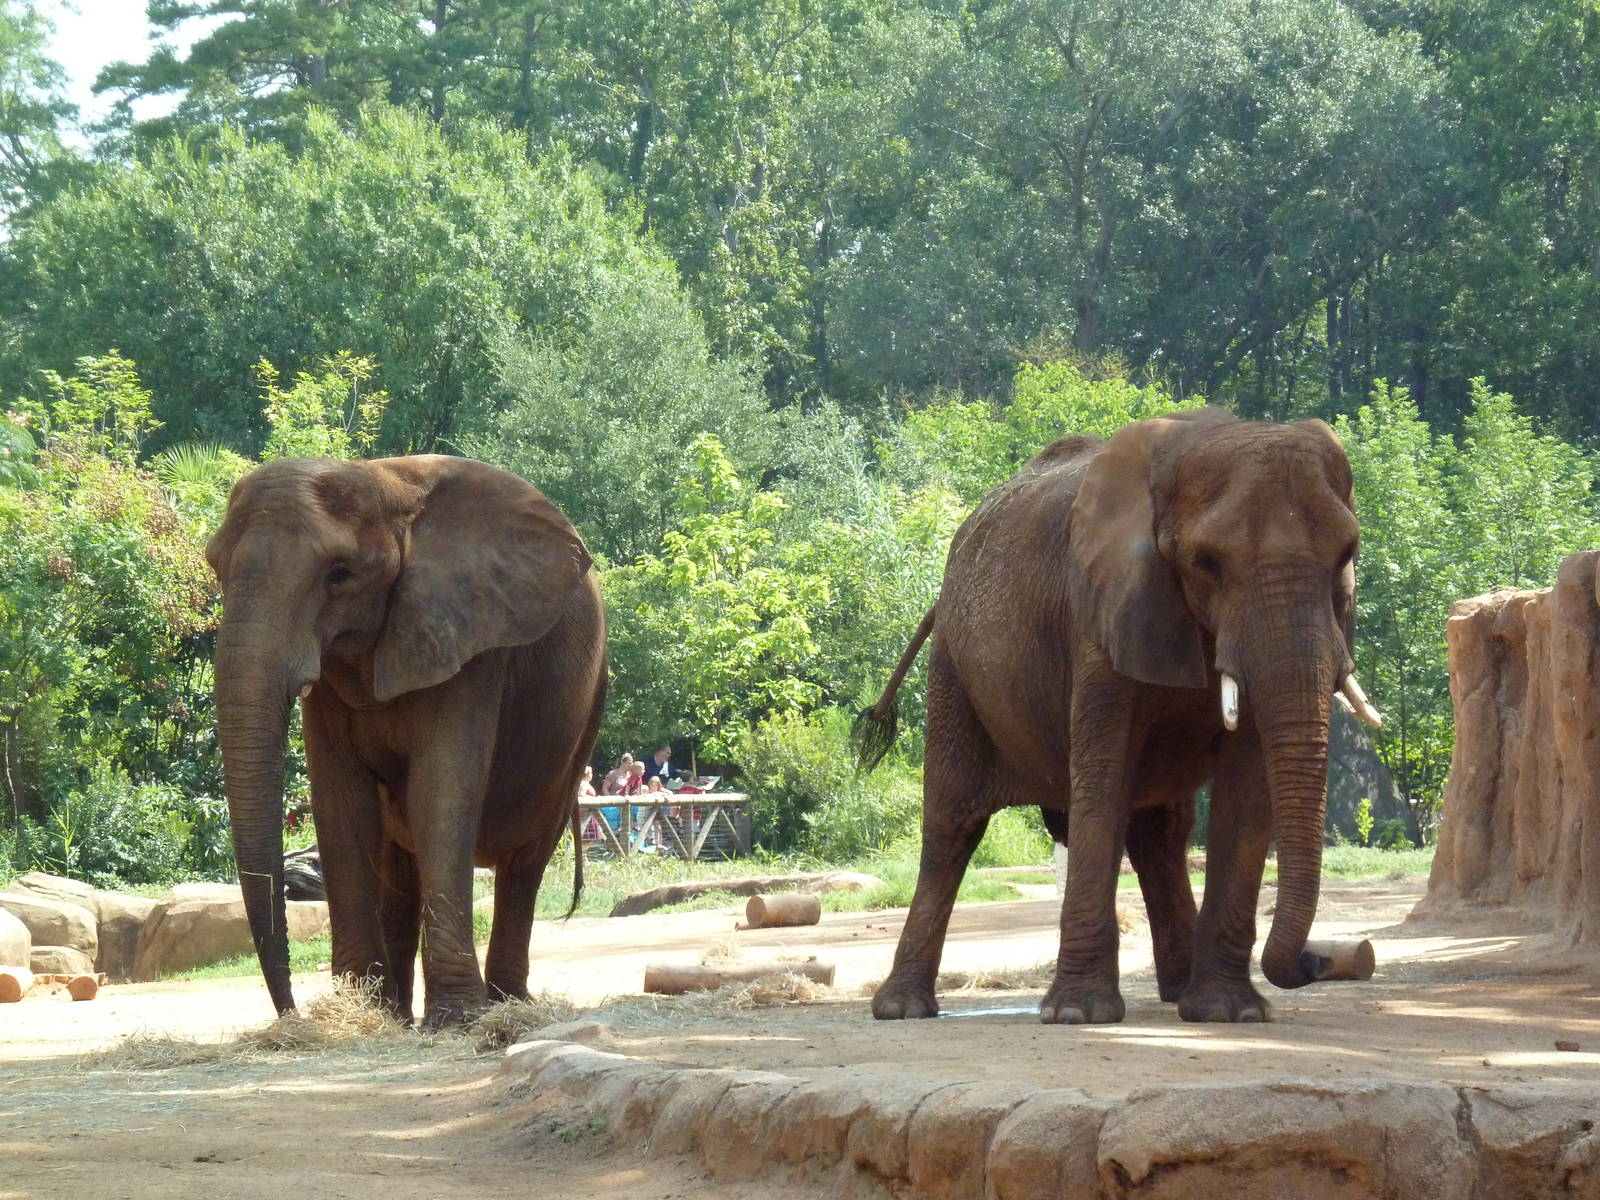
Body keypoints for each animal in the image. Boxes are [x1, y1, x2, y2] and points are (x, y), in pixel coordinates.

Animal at [205, 454, 606, 1028]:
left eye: (340, 574)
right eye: (216, 568)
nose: (291, 1014)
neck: (386, 484)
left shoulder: (468, 635)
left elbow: (440, 790)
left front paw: (457, 1019)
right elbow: (340, 802)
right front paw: (363, 1011)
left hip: (584, 716)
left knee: (524, 864)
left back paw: (505, 1004)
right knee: (400, 867)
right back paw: (396, 1013)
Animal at [854, 410, 1381, 1024]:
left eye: (1346, 556)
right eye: (1207, 563)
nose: (1320, 961)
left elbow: (1248, 789)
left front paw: (1228, 1015)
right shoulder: (1099, 614)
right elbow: (1103, 779)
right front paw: (1079, 1016)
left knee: (1160, 831)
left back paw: (1179, 991)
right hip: (953, 669)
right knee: (953, 824)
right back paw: (902, 1008)